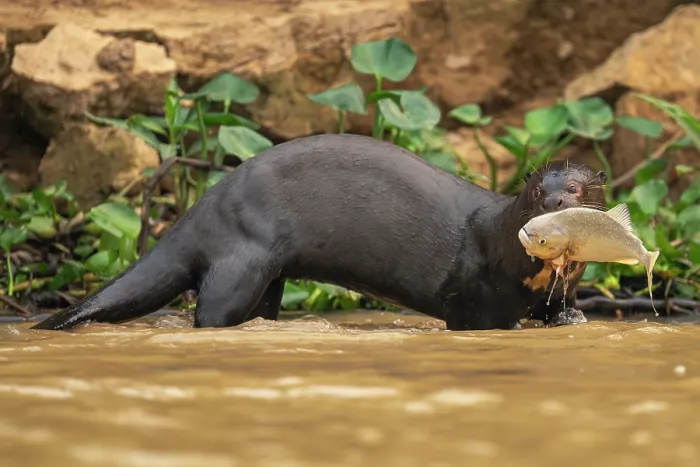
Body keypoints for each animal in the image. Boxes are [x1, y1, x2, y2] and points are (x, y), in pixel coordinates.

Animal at [31, 134, 607, 332]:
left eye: (578, 188)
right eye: (537, 191)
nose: (556, 202)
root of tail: (199, 211)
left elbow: (561, 311)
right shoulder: (470, 296)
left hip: (269, 275)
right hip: (241, 258)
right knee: (209, 311)